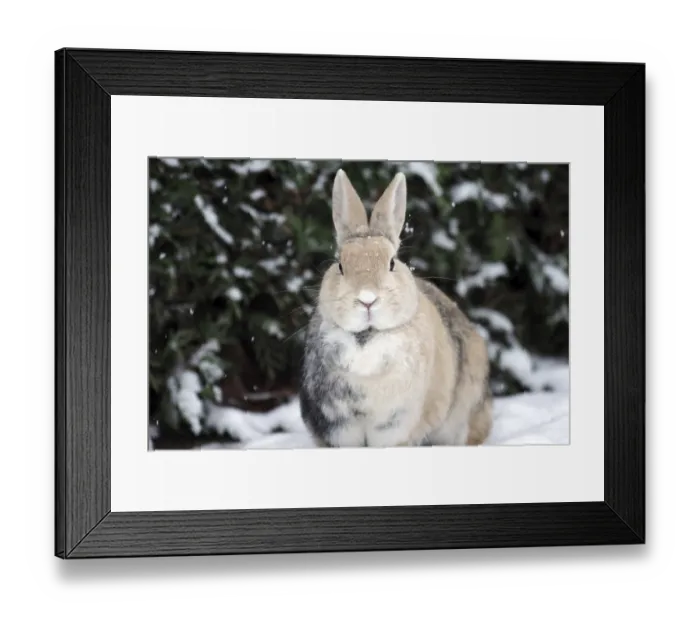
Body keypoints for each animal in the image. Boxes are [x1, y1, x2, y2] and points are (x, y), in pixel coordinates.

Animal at [299, 169, 493, 448]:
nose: (367, 299)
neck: (367, 339)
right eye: (340, 266)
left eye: (392, 263)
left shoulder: (398, 426)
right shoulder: (338, 430)